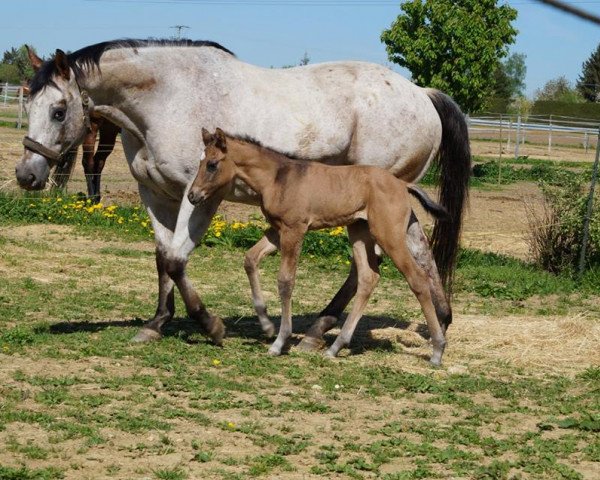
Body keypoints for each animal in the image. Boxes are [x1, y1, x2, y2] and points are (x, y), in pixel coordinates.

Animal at [14, 40, 472, 348]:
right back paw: (431, 322)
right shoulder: (155, 194)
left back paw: (322, 331)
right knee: (407, 253)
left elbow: (178, 260)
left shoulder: (198, 195)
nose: (26, 175)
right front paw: (157, 323)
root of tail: (421, 93)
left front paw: (214, 326)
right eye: (28, 102)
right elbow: (163, 259)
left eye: (58, 111)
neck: (166, 97)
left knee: (385, 261)